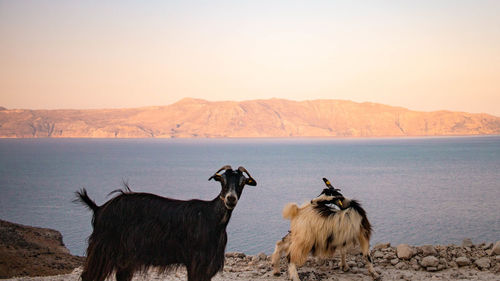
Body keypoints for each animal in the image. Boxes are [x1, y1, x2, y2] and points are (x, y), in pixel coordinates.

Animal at [76, 164, 256, 280]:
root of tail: (99, 208)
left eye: (242, 182)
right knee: (88, 276)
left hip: (125, 256)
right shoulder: (196, 262)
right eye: (222, 180)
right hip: (103, 249)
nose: (230, 199)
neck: (211, 217)